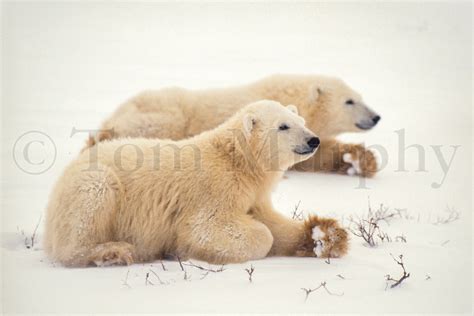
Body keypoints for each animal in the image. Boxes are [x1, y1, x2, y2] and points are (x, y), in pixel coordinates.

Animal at [45, 100, 348, 266]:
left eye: (301, 120)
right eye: (283, 126)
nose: (313, 140)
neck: (237, 159)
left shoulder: (253, 194)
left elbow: (271, 221)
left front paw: (325, 235)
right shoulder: (214, 190)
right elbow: (207, 229)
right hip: (92, 184)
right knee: (87, 215)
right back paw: (115, 252)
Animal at [90, 74, 382, 178]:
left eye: (361, 96)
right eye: (349, 101)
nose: (376, 117)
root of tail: (113, 116)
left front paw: (362, 160)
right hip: (163, 116)